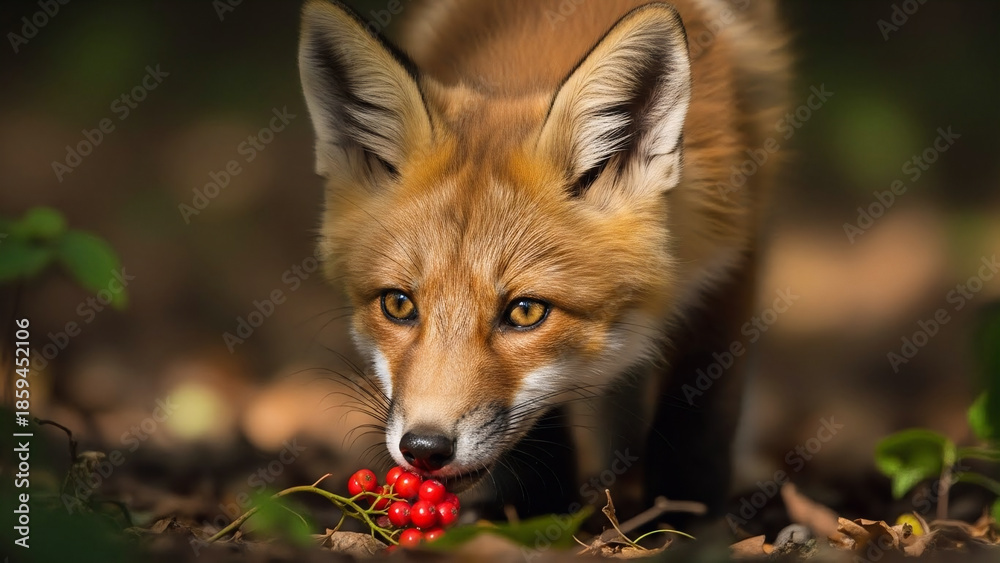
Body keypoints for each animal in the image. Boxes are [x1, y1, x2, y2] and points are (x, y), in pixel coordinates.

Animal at [298, 0, 789, 519]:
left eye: (526, 312)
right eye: (398, 304)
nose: (425, 448)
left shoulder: (733, 260)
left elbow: (699, 416)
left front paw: (687, 516)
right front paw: (540, 511)